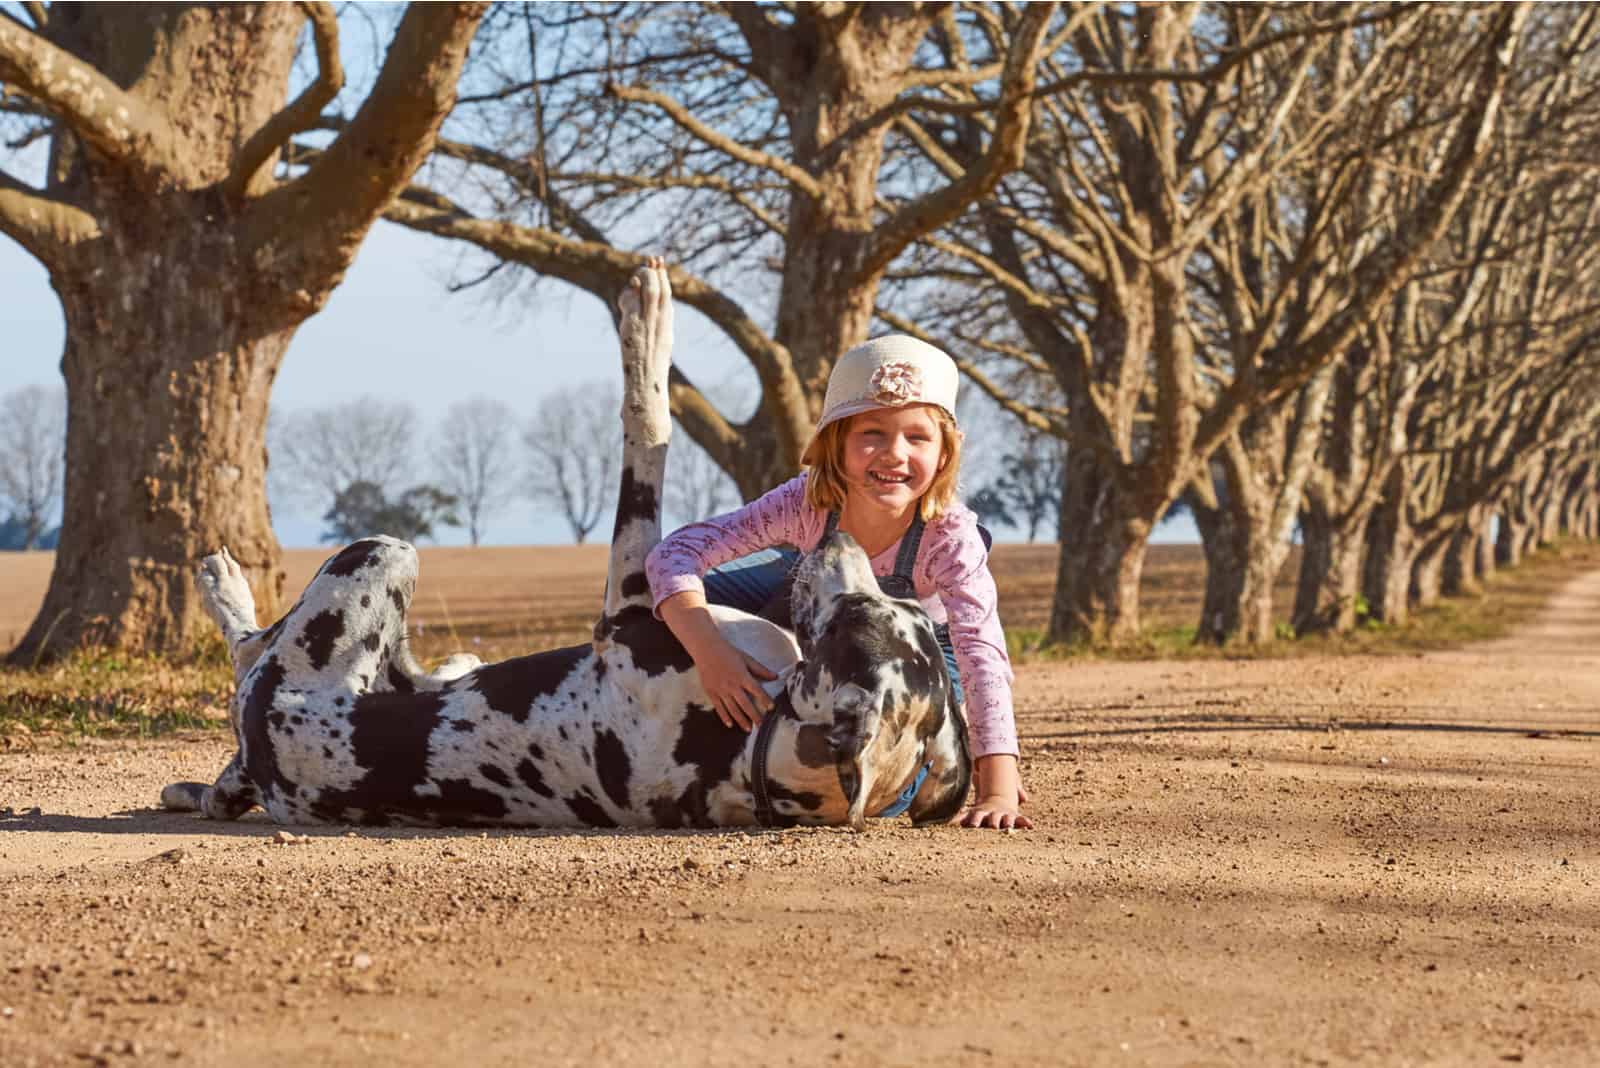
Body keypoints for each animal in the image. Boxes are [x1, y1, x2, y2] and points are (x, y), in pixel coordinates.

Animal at [162, 262, 966, 831]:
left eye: (853, 615)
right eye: (885, 611)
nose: (838, 538)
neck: (750, 752)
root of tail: (257, 764)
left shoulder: (629, 603)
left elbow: (647, 421)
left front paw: (649, 321)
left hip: (379, 554)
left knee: (249, 648)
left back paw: (221, 582)